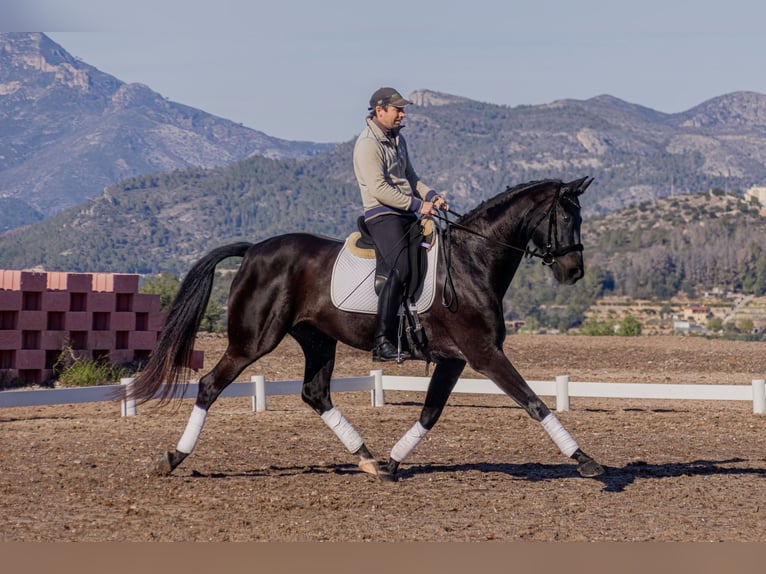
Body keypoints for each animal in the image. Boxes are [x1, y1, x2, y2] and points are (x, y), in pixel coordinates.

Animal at [126, 178, 608, 484]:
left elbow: (430, 413)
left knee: (315, 393)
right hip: (253, 340)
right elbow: (534, 401)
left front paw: (392, 463)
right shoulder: (484, 353)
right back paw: (173, 458)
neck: (472, 260)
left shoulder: (454, 358)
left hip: (318, 339)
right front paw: (585, 460)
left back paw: (368, 458)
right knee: (210, 385)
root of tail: (254, 250)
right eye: (565, 218)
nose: (574, 272)